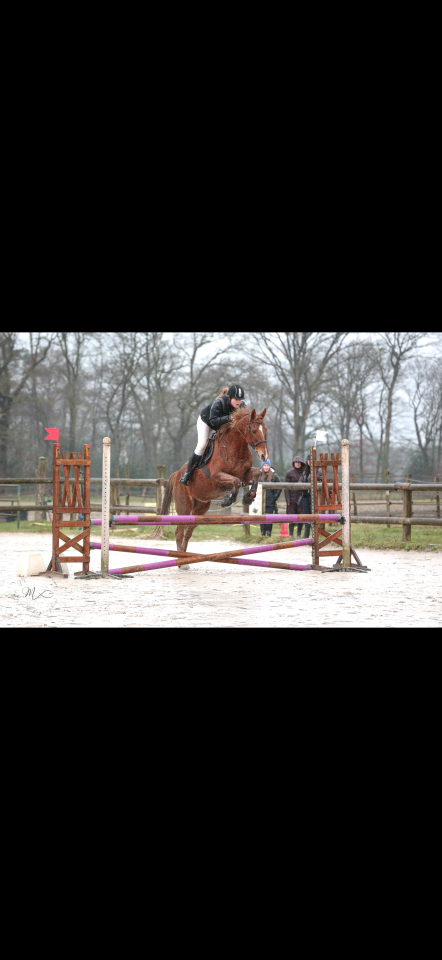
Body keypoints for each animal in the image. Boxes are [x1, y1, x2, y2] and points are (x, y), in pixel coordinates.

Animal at [161, 406, 269, 562]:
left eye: (266, 430)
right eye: (254, 431)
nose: (264, 456)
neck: (235, 448)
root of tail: (177, 474)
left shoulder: (245, 474)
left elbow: (256, 473)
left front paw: (249, 497)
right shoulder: (217, 476)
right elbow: (235, 482)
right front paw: (228, 499)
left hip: (200, 508)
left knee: (187, 532)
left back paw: (186, 560)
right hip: (184, 507)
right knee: (179, 533)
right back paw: (181, 562)